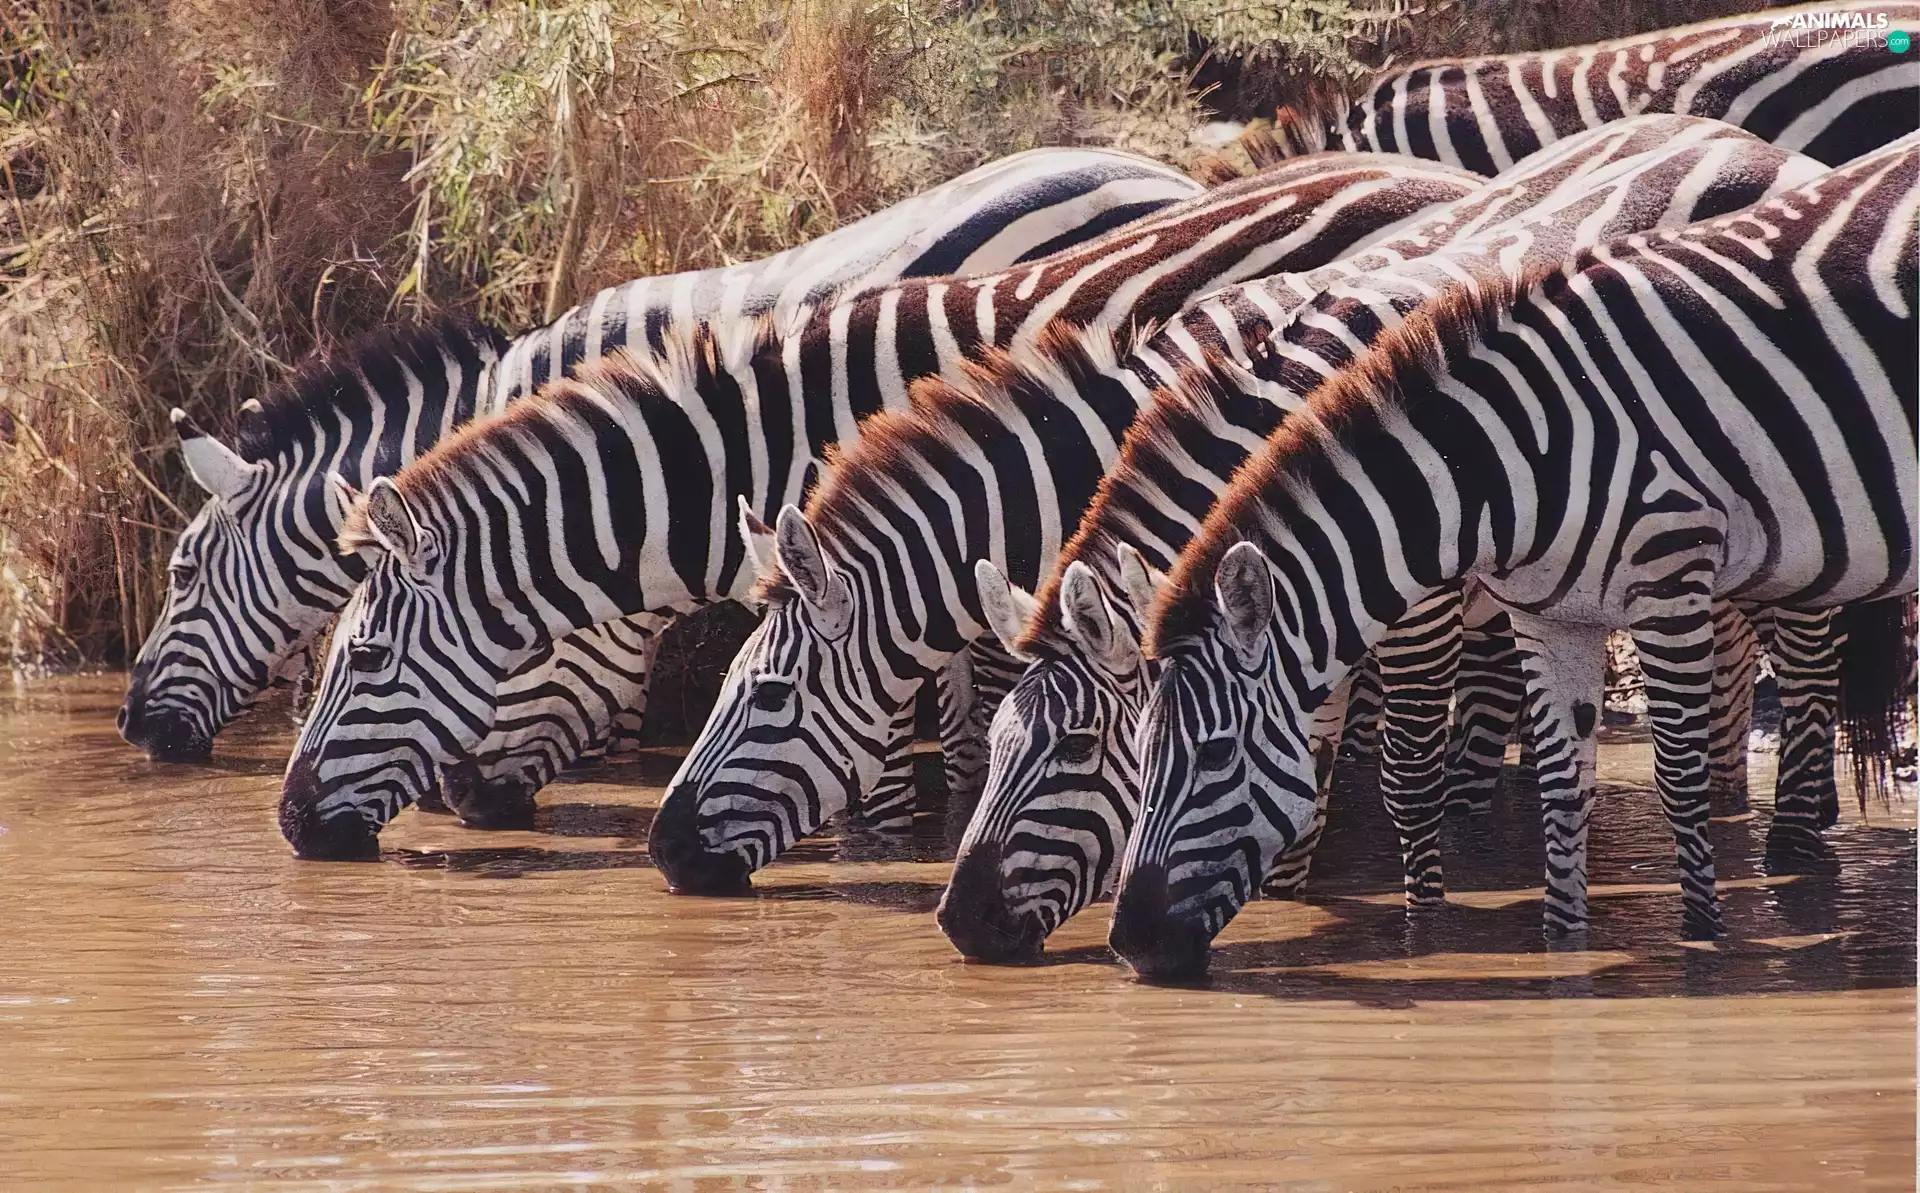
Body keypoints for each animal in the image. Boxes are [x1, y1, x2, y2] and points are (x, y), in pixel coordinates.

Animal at [934, 115, 1828, 961]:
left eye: (1076, 747)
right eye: (1001, 739)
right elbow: (1309, 767)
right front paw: (1284, 902)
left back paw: (1800, 845)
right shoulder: (1298, 604)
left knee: (1810, 645)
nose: (959, 924)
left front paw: (1421, 924)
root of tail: (1746, 141)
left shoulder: (1416, 606)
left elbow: (1406, 777)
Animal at [1110, 136, 1918, 980]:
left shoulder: (1664, 576)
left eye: (1216, 753)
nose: (1129, 944)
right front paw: (1563, 947)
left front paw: (1701, 944)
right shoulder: (1548, 614)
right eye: (1133, 753)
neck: (1496, 466)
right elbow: (1561, 783)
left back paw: (1792, 844)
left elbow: (1671, 774)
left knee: (1805, 656)